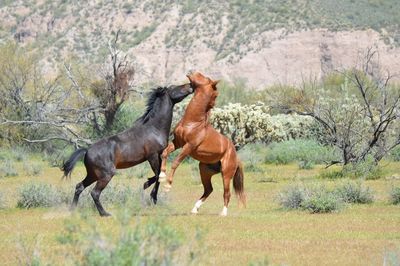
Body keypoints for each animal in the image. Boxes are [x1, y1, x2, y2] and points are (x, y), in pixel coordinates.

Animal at [61, 83, 194, 216]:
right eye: (173, 87)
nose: (190, 85)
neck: (154, 129)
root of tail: (87, 150)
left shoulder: (159, 155)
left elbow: (159, 174)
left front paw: (150, 191)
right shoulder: (152, 156)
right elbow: (157, 175)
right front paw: (150, 192)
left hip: (93, 174)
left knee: (79, 187)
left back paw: (73, 209)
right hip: (106, 174)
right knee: (95, 193)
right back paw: (105, 213)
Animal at [159, 71, 245, 216]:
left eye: (206, 78)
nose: (193, 72)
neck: (193, 122)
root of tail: (235, 156)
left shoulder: (189, 146)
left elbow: (176, 162)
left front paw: (167, 185)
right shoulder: (177, 143)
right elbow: (164, 153)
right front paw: (161, 176)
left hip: (226, 174)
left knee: (226, 193)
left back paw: (223, 213)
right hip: (204, 170)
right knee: (208, 190)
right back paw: (195, 209)